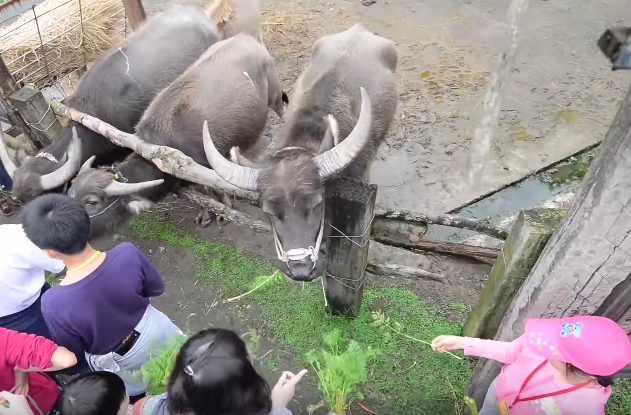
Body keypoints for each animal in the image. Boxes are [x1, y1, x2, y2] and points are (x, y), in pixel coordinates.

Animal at [67, 33, 286, 237]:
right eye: (71, 192)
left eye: (92, 202)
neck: (163, 146)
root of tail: (245, 37)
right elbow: (201, 190)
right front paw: (206, 213)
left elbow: (217, 189)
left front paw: (222, 211)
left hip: (274, 95)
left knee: (283, 111)